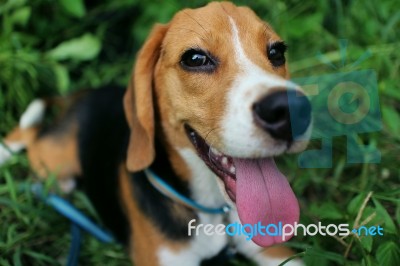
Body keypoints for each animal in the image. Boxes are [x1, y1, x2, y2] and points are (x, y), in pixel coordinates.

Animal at [0, 2, 312, 266]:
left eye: (277, 52)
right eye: (195, 58)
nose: (292, 110)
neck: (213, 208)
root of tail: (85, 94)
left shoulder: (274, 251)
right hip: (52, 159)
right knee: (30, 135)